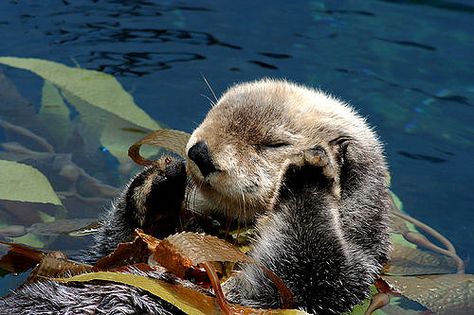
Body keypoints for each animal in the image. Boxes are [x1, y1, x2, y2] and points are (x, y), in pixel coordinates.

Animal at [0, 79, 390, 315]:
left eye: (274, 144)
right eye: (211, 115)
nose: (200, 153)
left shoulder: (338, 278)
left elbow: (307, 263)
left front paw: (310, 172)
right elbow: (110, 248)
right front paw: (159, 182)